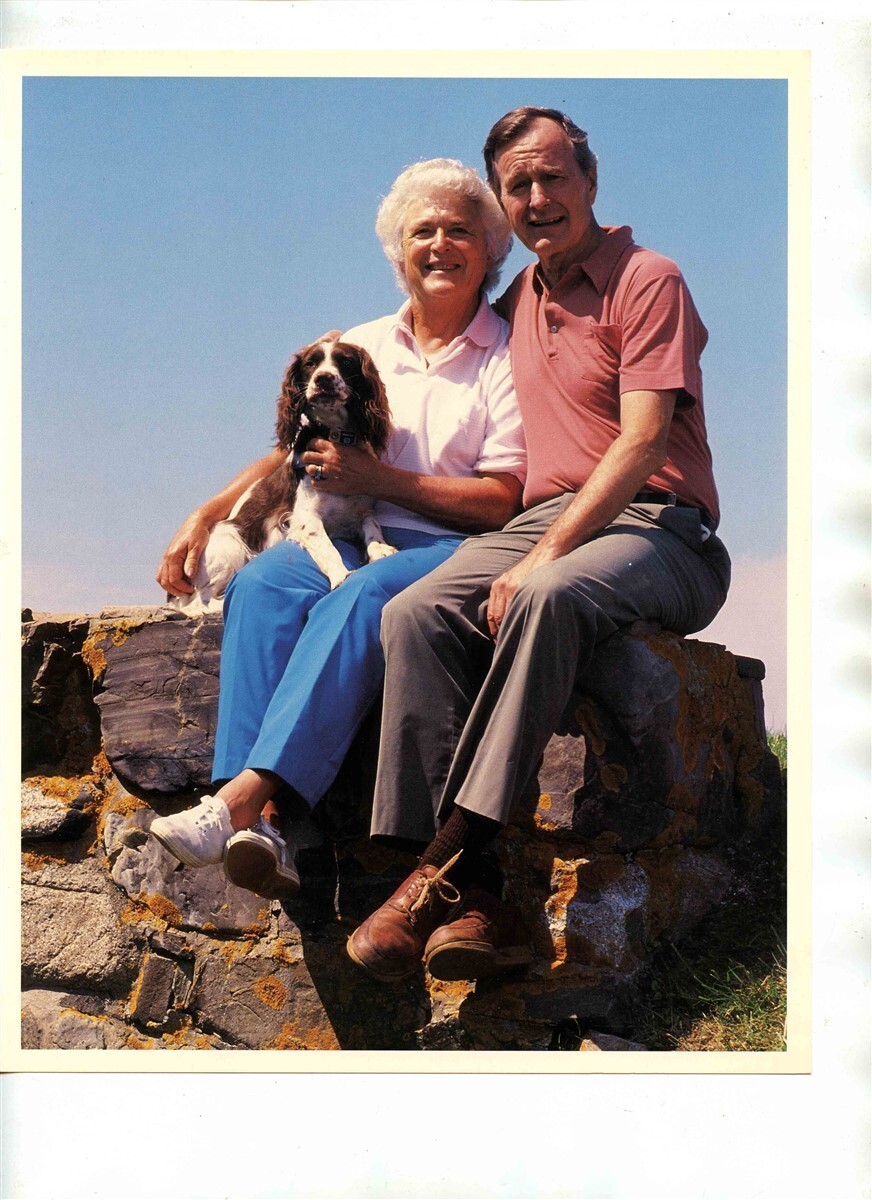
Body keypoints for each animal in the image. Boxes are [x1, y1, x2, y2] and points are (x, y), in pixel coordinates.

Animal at [169, 339, 396, 616]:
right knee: (197, 602)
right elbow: (329, 549)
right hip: (229, 545)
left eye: (345, 361)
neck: (335, 437)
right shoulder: (306, 519)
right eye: (310, 363)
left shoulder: (362, 511)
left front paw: (381, 550)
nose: (323, 378)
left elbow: (373, 531)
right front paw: (342, 576)